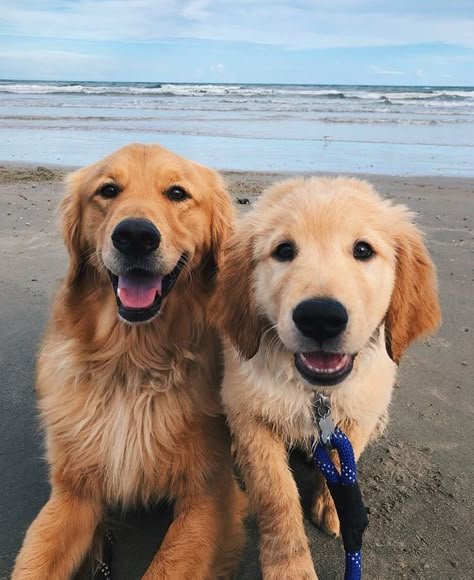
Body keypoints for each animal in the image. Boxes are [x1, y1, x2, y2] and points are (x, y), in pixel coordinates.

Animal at [211, 178, 440, 580]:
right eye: (284, 250)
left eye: (363, 250)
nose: (320, 317)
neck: (315, 393)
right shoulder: (251, 415)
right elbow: (275, 495)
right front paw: (289, 566)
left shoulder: (359, 413)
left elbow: (342, 459)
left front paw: (335, 507)